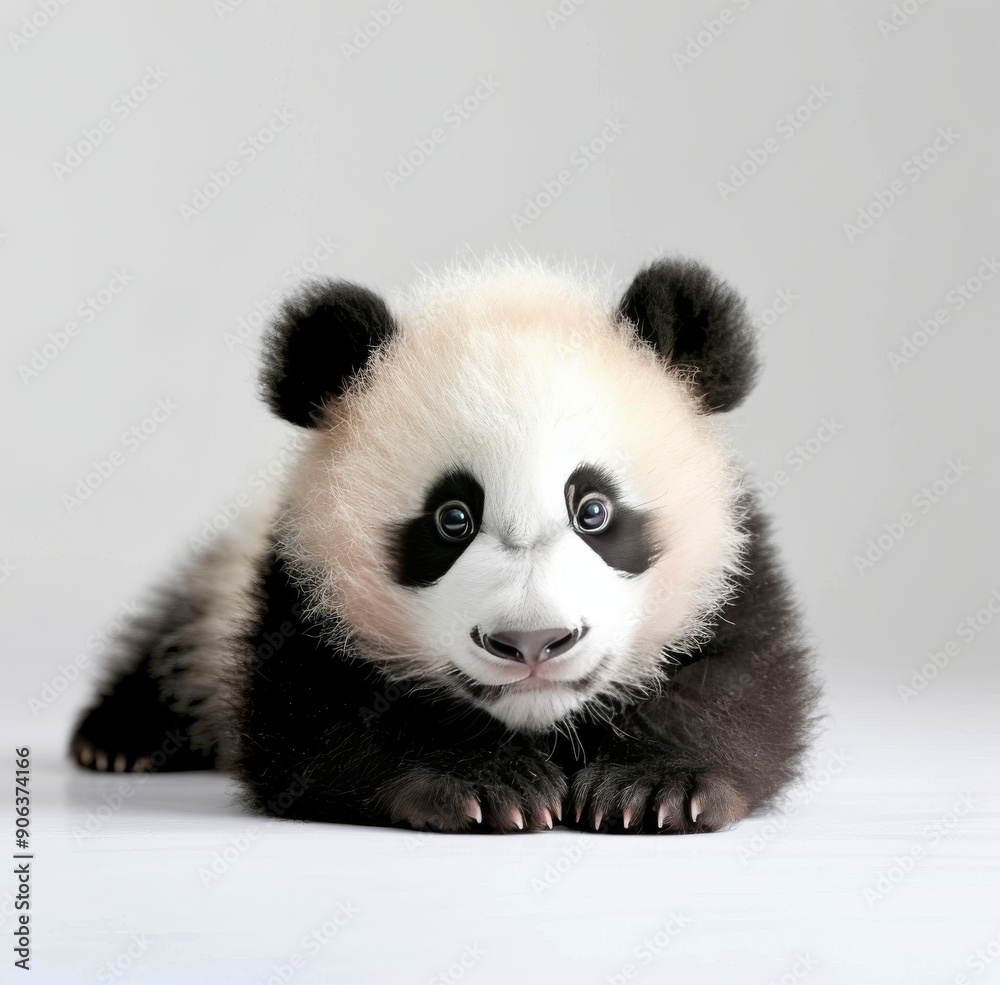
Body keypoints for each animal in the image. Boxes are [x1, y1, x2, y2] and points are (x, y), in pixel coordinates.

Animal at [70, 255, 819, 834]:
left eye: (594, 510)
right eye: (451, 518)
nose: (532, 643)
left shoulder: (729, 568)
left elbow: (741, 685)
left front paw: (653, 785)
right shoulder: (298, 589)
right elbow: (312, 725)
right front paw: (485, 783)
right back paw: (119, 739)